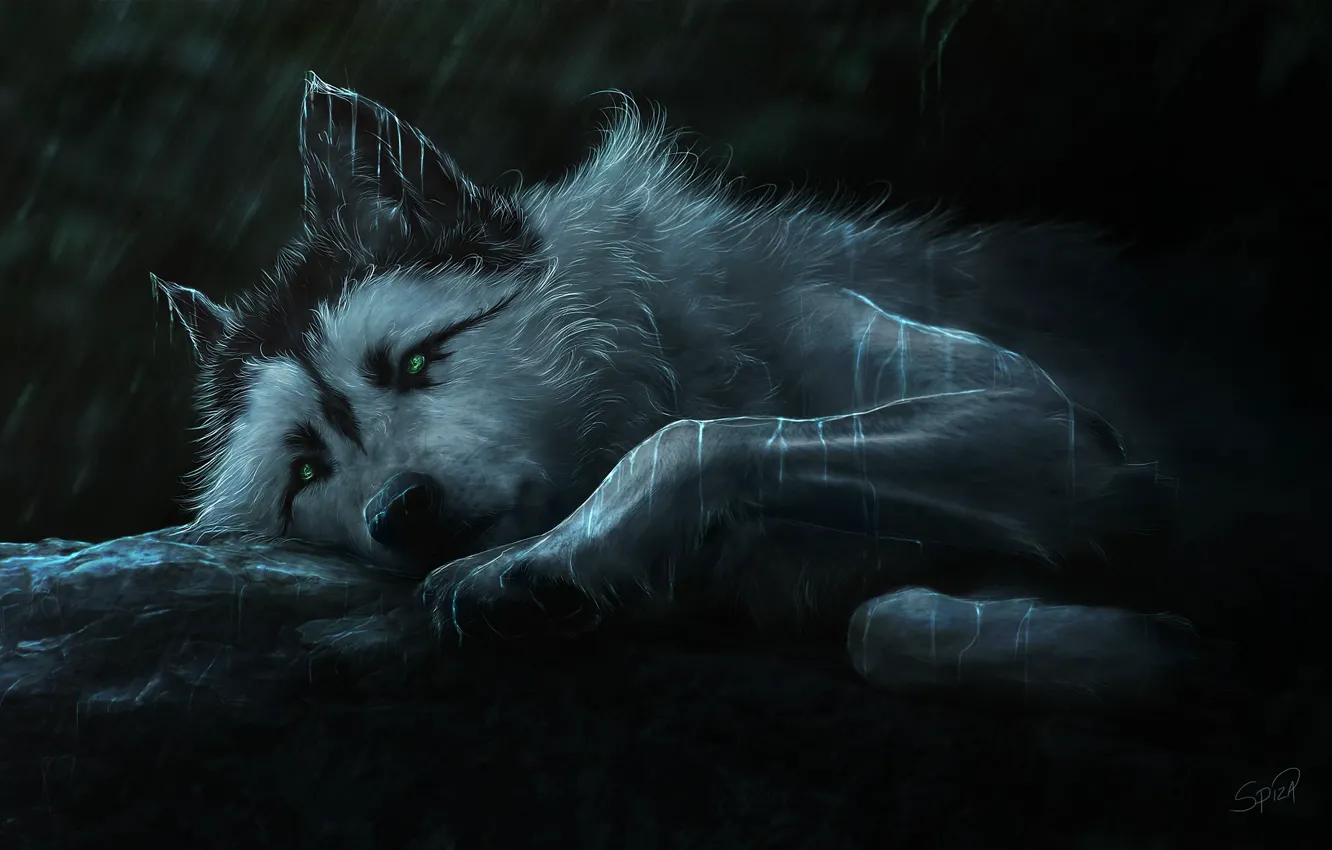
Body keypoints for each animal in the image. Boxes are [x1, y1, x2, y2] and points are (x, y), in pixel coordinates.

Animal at [156, 72, 1189, 703]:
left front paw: (539, 562)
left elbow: (697, 440)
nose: (400, 511)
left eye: (414, 362)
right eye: (305, 474)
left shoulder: (1045, 426)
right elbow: (883, 622)